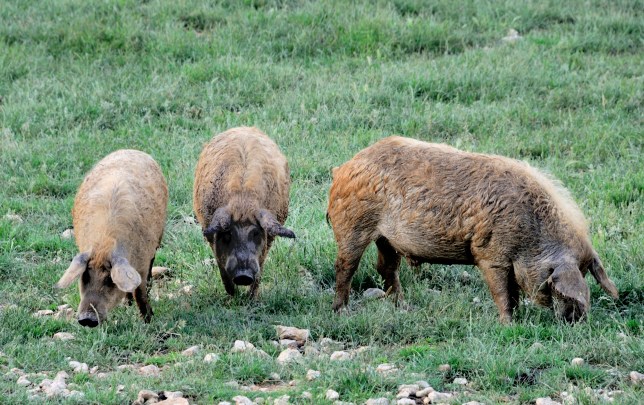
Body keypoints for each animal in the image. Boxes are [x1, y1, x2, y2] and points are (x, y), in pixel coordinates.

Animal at [56, 148, 169, 326]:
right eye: (84, 277)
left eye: (110, 280)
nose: (87, 319)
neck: (104, 244)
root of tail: (131, 149)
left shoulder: (143, 262)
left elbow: (140, 292)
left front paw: (148, 320)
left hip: (158, 237)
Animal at [192, 124, 296, 296]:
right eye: (228, 234)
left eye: (256, 233)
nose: (243, 275)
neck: (243, 202)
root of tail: (244, 127)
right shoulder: (210, 232)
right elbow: (222, 268)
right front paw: (233, 296)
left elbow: (260, 265)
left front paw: (250, 298)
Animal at [328, 136, 620, 322]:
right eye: (557, 285)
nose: (576, 320)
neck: (531, 233)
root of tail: (343, 168)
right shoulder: (490, 255)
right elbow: (502, 292)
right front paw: (508, 323)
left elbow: (513, 292)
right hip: (353, 225)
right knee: (345, 266)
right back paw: (341, 312)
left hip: (387, 239)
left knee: (386, 268)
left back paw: (404, 308)